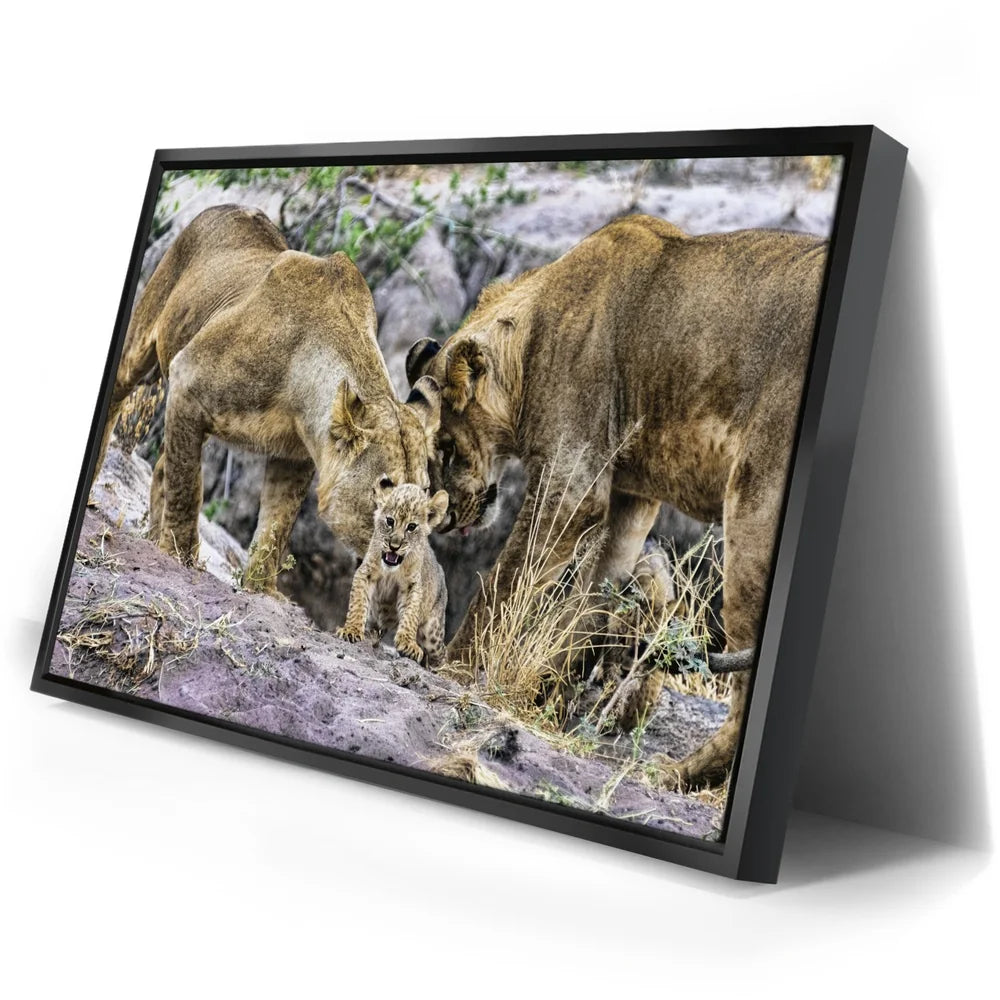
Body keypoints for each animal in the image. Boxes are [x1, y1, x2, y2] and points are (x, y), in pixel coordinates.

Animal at [99, 204, 441, 592]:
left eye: (425, 494)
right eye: (388, 489)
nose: (409, 547)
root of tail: (229, 207)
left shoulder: (295, 456)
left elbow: (276, 527)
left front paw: (260, 590)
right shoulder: (187, 379)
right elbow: (187, 488)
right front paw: (178, 556)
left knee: (163, 466)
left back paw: (152, 535)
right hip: (146, 336)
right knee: (121, 396)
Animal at [406, 214, 828, 789]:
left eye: (445, 446)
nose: (445, 519)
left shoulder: (572, 484)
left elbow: (505, 580)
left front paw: (457, 666)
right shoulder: (630, 496)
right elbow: (590, 601)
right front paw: (550, 695)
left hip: (753, 513)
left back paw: (679, 774)